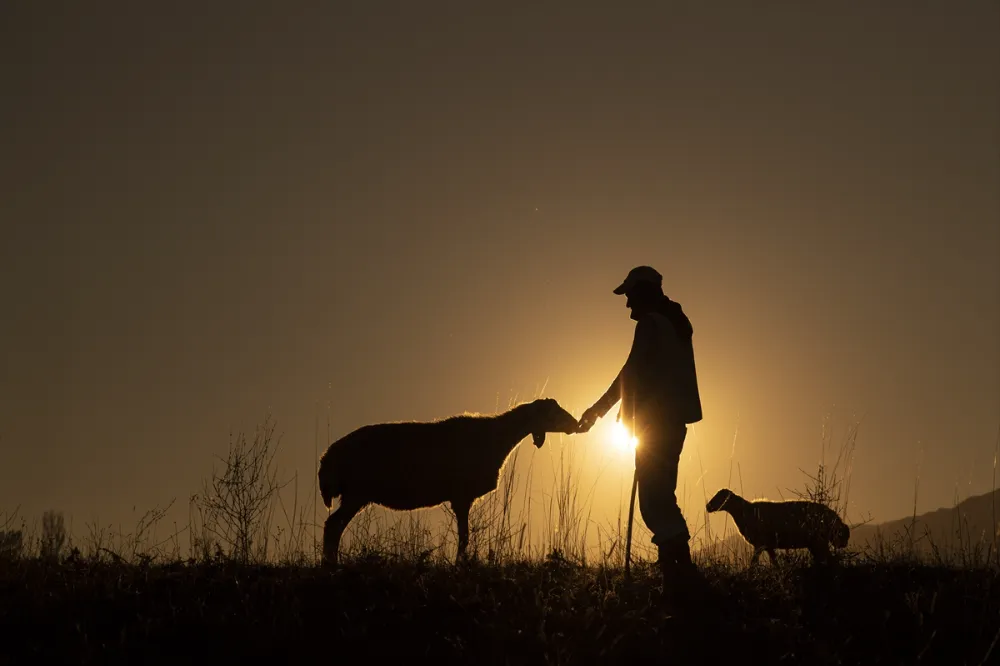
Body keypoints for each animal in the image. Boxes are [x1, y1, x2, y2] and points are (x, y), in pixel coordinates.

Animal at [312, 396, 580, 564]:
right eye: (553, 413)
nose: (576, 424)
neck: (498, 436)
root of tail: (328, 457)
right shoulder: (462, 496)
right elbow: (465, 537)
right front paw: (460, 564)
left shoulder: (461, 498)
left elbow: (464, 536)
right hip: (356, 493)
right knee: (332, 526)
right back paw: (331, 565)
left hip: (355, 494)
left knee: (334, 526)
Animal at [704, 486, 852, 564]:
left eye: (720, 497)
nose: (707, 506)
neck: (745, 512)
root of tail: (834, 517)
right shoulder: (768, 545)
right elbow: (774, 562)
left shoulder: (760, 544)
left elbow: (754, 563)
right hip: (815, 543)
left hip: (819, 541)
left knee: (829, 560)